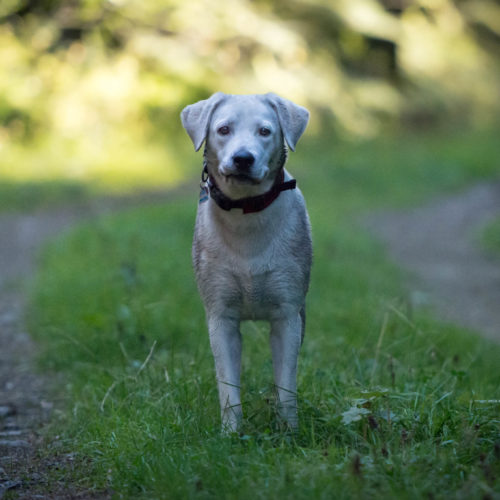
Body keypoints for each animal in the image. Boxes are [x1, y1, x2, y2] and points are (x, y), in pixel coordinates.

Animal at [180, 94, 312, 434]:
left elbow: (286, 385)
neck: (246, 212)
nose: (242, 158)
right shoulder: (220, 316)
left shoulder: (288, 314)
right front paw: (231, 433)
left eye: (265, 131)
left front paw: (289, 431)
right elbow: (228, 386)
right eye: (223, 129)